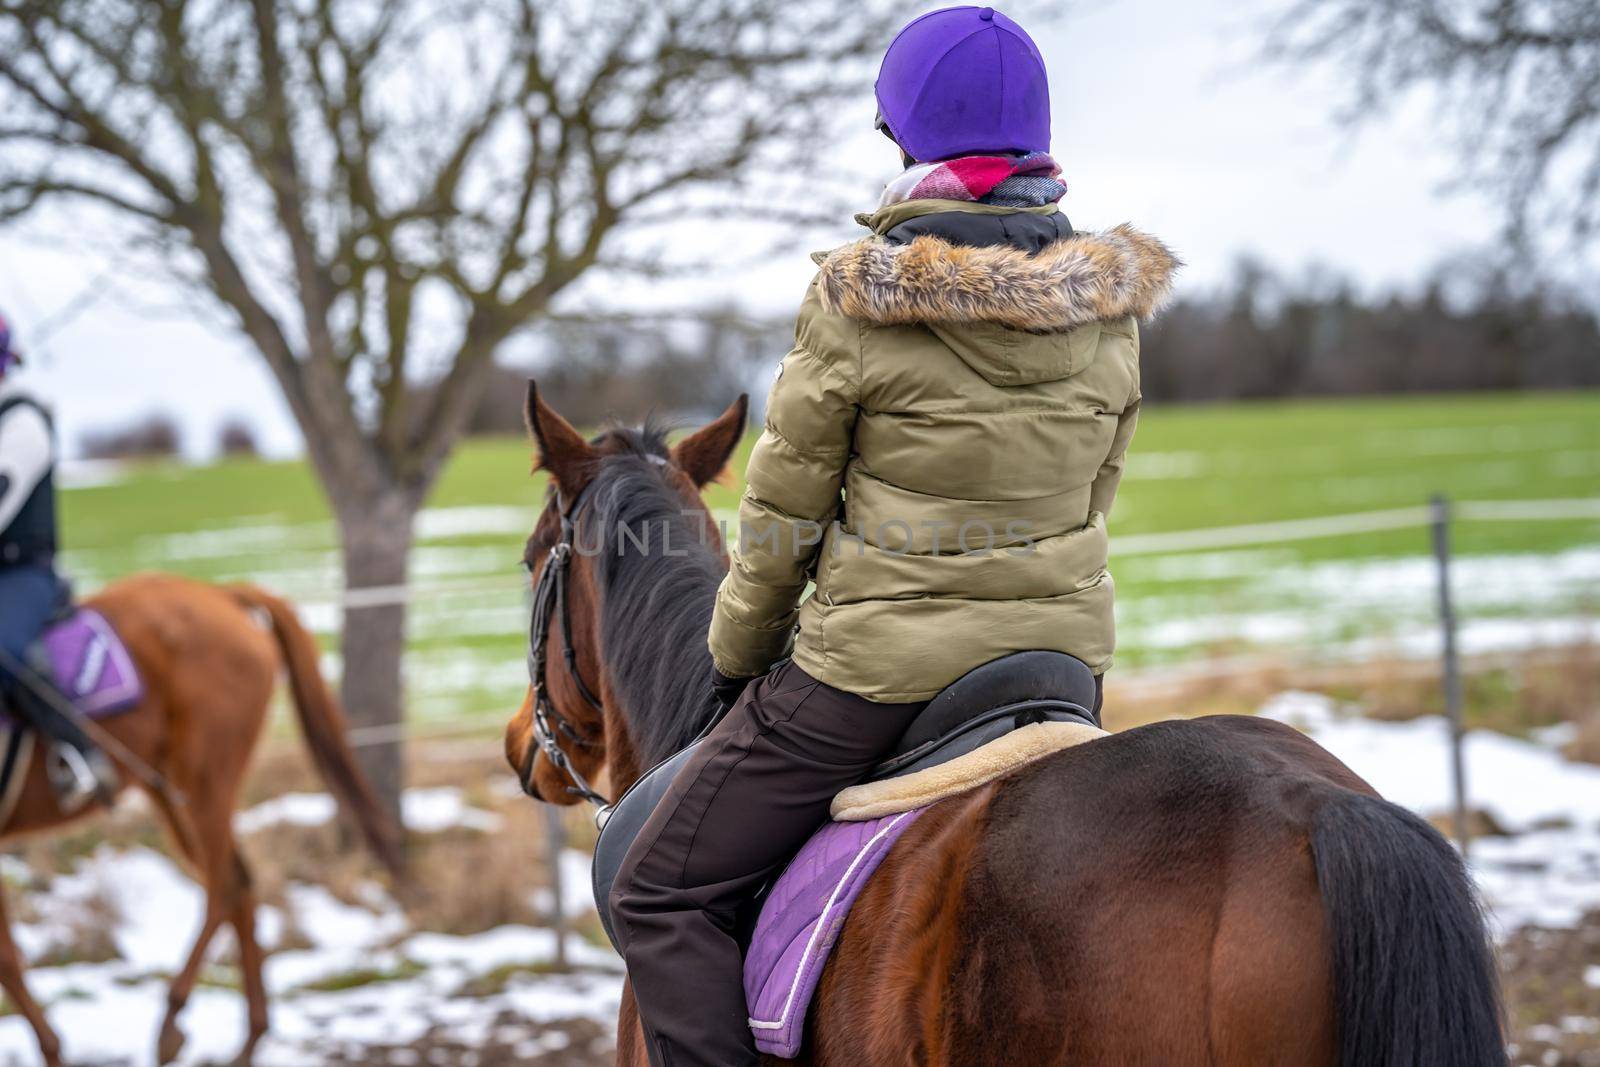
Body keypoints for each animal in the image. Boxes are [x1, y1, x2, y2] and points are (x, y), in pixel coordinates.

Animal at [0, 579, 406, 1062]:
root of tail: (222, 593)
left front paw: (52, 1049)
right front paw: (49, 1046)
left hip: (206, 782)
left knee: (224, 886)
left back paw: (173, 1020)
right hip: (168, 788)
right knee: (239, 883)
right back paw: (251, 1035)